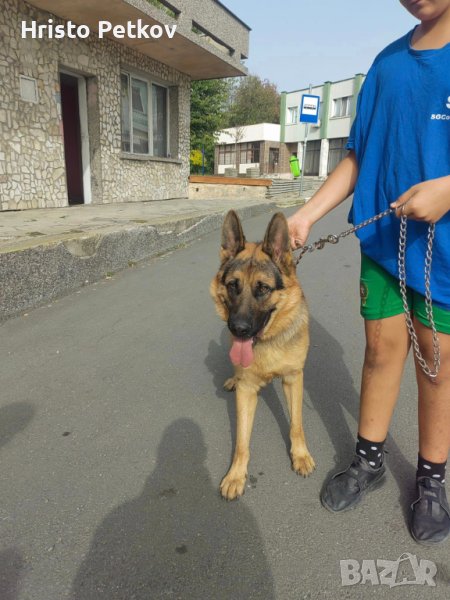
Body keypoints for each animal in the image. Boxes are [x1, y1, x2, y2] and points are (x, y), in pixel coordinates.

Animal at [212, 211, 314, 502]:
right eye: (233, 286)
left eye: (263, 289)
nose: (238, 329)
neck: (267, 341)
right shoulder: (247, 391)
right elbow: (241, 441)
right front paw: (236, 475)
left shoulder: (293, 379)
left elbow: (296, 424)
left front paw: (300, 455)